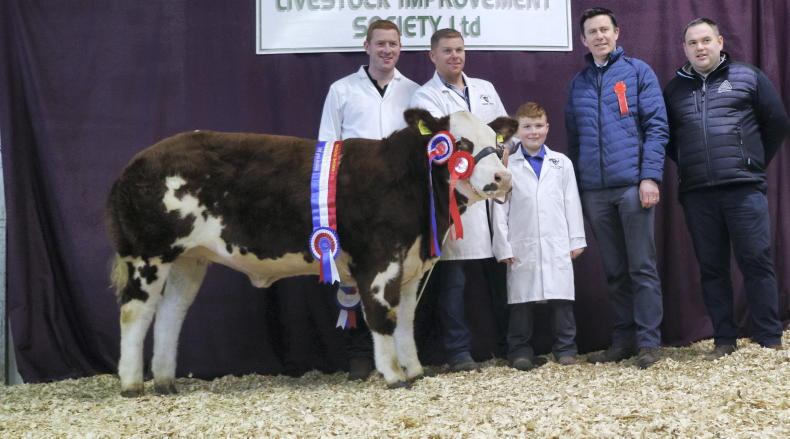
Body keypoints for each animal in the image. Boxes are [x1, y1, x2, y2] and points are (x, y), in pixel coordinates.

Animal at [107, 109, 517, 396]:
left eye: (496, 144)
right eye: (461, 144)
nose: (503, 178)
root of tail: (135, 163)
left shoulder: (412, 265)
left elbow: (404, 320)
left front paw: (414, 370)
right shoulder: (379, 260)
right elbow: (381, 316)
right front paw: (394, 375)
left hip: (189, 259)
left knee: (170, 314)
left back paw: (165, 382)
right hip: (148, 254)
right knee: (134, 312)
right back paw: (131, 384)